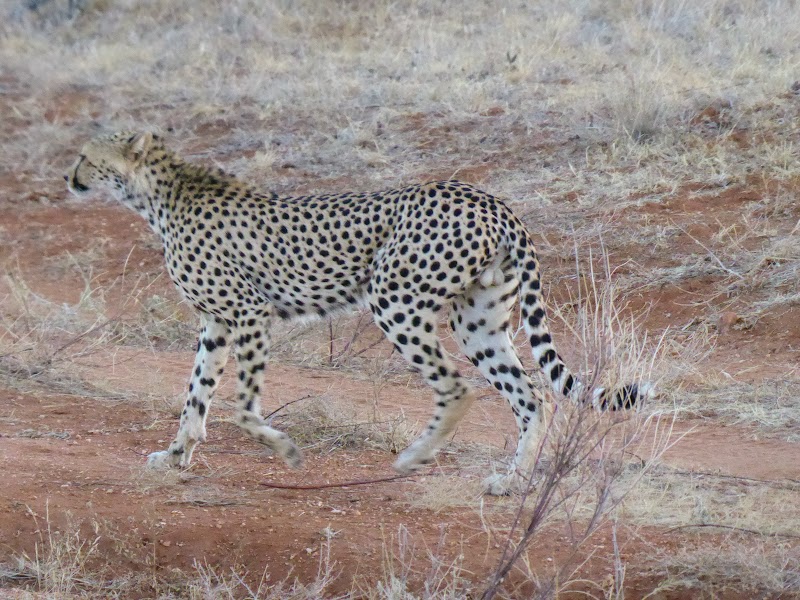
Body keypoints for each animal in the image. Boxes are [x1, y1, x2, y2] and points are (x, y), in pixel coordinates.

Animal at [65, 130, 648, 492]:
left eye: (85, 157)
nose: (68, 176)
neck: (160, 196)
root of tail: (487, 198)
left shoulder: (250, 313)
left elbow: (243, 407)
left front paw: (285, 452)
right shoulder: (216, 323)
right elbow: (195, 396)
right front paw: (175, 457)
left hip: (395, 299)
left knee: (458, 386)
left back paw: (416, 456)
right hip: (477, 320)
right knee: (531, 396)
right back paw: (513, 482)